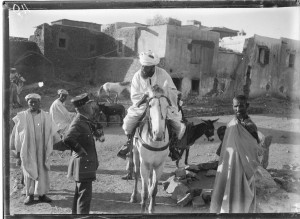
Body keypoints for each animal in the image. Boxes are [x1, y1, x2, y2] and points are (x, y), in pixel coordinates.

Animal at [130, 82, 172, 214]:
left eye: (166, 105)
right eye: (149, 105)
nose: (158, 134)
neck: (155, 142)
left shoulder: (159, 165)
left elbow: (154, 190)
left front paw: (151, 208)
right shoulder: (144, 164)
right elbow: (143, 191)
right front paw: (143, 208)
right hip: (136, 154)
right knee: (136, 174)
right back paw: (134, 196)